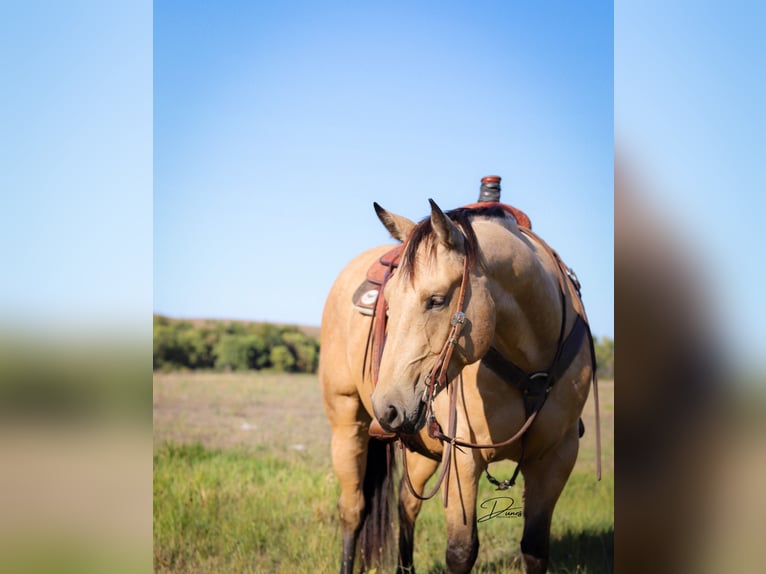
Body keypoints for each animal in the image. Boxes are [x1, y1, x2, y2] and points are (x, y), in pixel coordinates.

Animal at [318, 198, 600, 574]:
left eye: (436, 300)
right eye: (388, 302)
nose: (387, 407)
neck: (532, 369)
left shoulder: (557, 456)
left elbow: (535, 549)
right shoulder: (463, 460)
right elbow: (461, 551)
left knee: (407, 504)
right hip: (348, 422)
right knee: (353, 510)